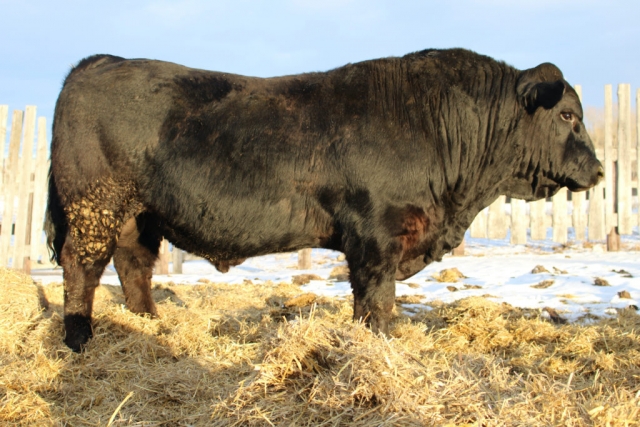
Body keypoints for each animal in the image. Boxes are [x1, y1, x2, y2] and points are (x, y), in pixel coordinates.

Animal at [46, 49, 604, 352]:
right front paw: (380, 346)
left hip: (139, 215)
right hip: (95, 204)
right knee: (81, 266)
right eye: (567, 116)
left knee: (132, 265)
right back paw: (79, 338)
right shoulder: (376, 235)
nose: (598, 170)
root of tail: (97, 63)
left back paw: (150, 325)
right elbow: (376, 302)